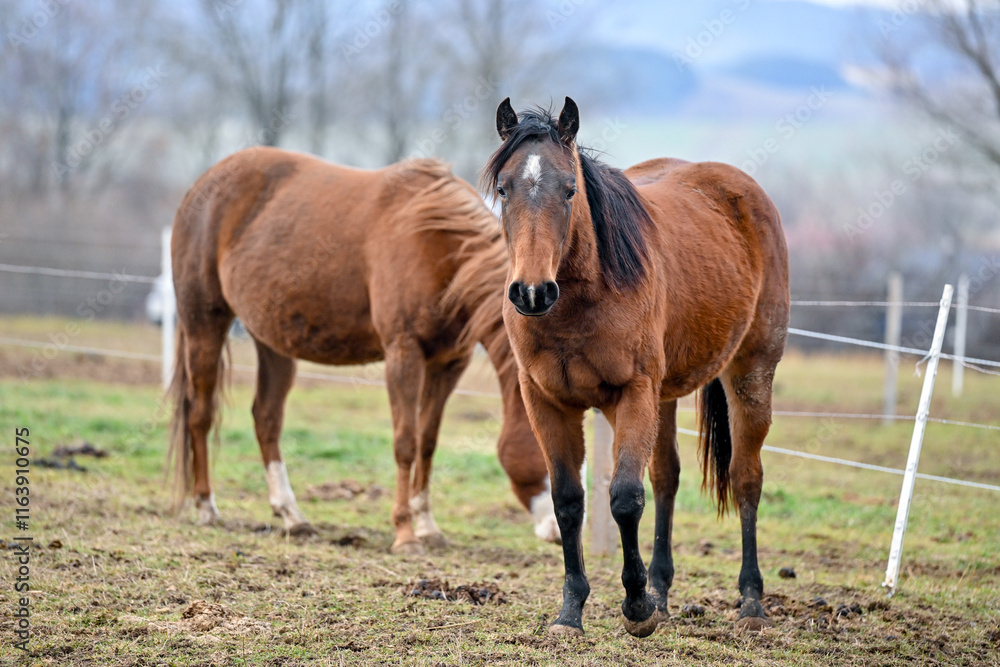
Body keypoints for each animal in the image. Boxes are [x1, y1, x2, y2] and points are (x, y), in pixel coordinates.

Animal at [167, 146, 558, 554]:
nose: (559, 531)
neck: (438, 244)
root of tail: (202, 186)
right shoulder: (404, 354)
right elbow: (406, 442)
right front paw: (405, 533)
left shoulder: (448, 363)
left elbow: (427, 443)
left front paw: (427, 527)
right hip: (204, 324)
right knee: (200, 413)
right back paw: (206, 506)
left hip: (272, 342)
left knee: (266, 418)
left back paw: (292, 515)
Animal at [484, 98, 789, 636]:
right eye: (504, 189)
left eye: (570, 189)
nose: (532, 292)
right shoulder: (546, 402)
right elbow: (569, 501)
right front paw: (572, 612)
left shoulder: (632, 394)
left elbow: (625, 497)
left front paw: (636, 607)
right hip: (665, 396)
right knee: (667, 478)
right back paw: (664, 592)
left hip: (750, 374)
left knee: (746, 477)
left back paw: (751, 602)